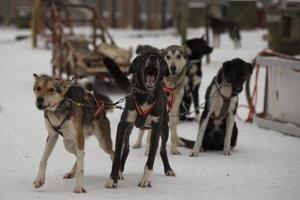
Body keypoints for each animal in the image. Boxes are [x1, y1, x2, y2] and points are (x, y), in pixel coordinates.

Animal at [103, 52, 176, 189]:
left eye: (160, 59)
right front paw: (112, 179)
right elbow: (116, 156)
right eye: (143, 57)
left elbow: (151, 159)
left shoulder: (156, 129)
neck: (145, 94)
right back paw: (120, 171)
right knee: (125, 149)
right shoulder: (122, 126)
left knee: (162, 150)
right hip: (129, 130)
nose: (153, 57)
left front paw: (145, 180)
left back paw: (168, 169)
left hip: (165, 129)